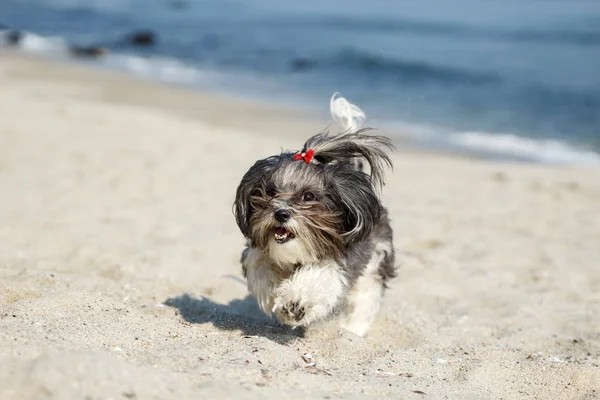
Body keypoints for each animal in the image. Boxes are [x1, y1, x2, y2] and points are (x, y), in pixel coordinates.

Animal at [232, 92, 396, 336]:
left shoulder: (340, 261)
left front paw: (295, 304)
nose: (281, 213)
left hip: (375, 261)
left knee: (364, 299)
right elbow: (259, 263)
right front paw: (274, 294)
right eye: (271, 192)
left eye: (308, 196)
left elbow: (319, 275)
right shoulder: (257, 252)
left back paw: (351, 330)